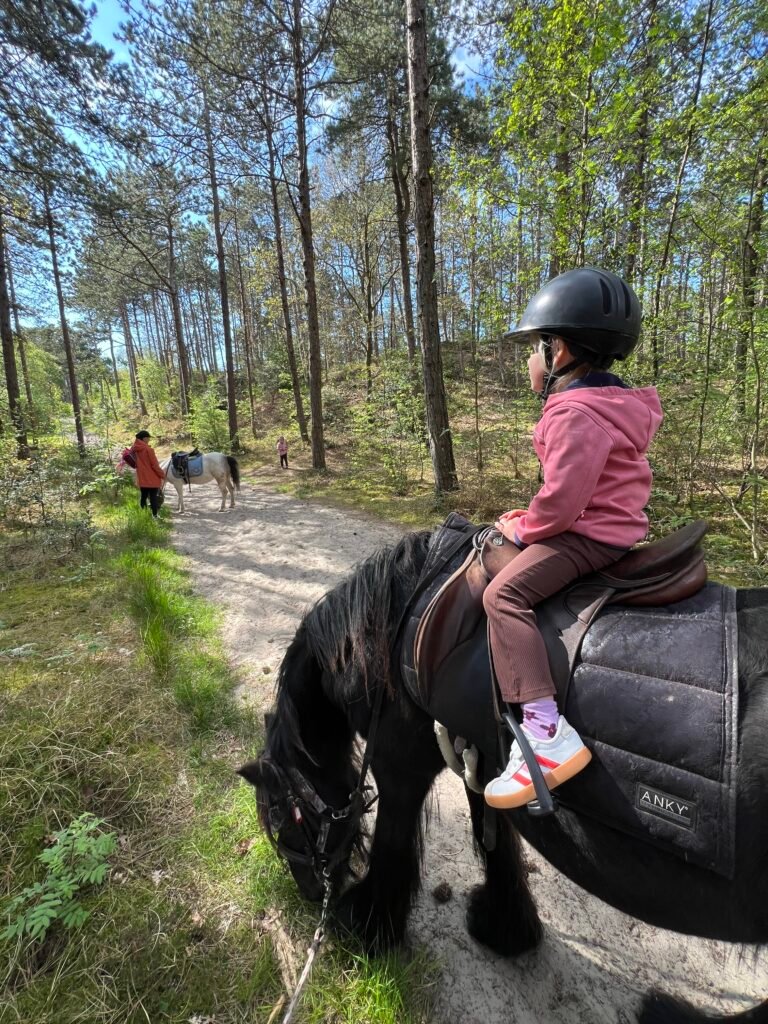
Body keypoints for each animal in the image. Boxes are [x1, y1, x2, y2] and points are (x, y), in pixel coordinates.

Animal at [237, 528, 768, 1024]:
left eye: (285, 820)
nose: (311, 894)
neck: (389, 629)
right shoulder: (479, 755)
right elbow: (494, 840)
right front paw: (507, 929)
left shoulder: (399, 765)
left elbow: (394, 843)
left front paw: (369, 926)